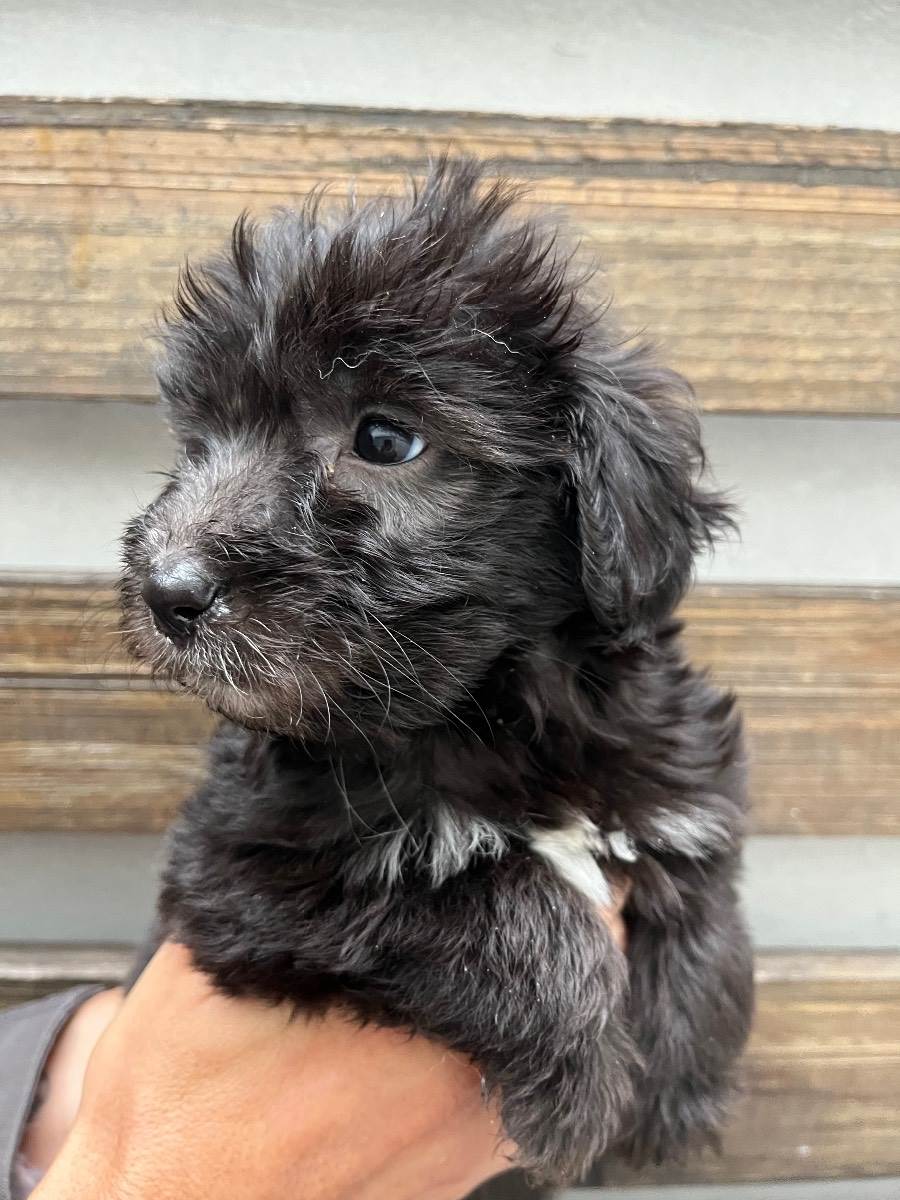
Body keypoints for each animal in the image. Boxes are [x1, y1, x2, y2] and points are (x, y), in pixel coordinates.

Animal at [120, 157, 753, 1186]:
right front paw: (582, 1081)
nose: (169, 590)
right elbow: (488, 891)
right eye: (199, 444)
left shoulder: (673, 776)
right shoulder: (249, 872)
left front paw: (678, 1078)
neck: (486, 710)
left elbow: (702, 888)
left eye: (384, 439)